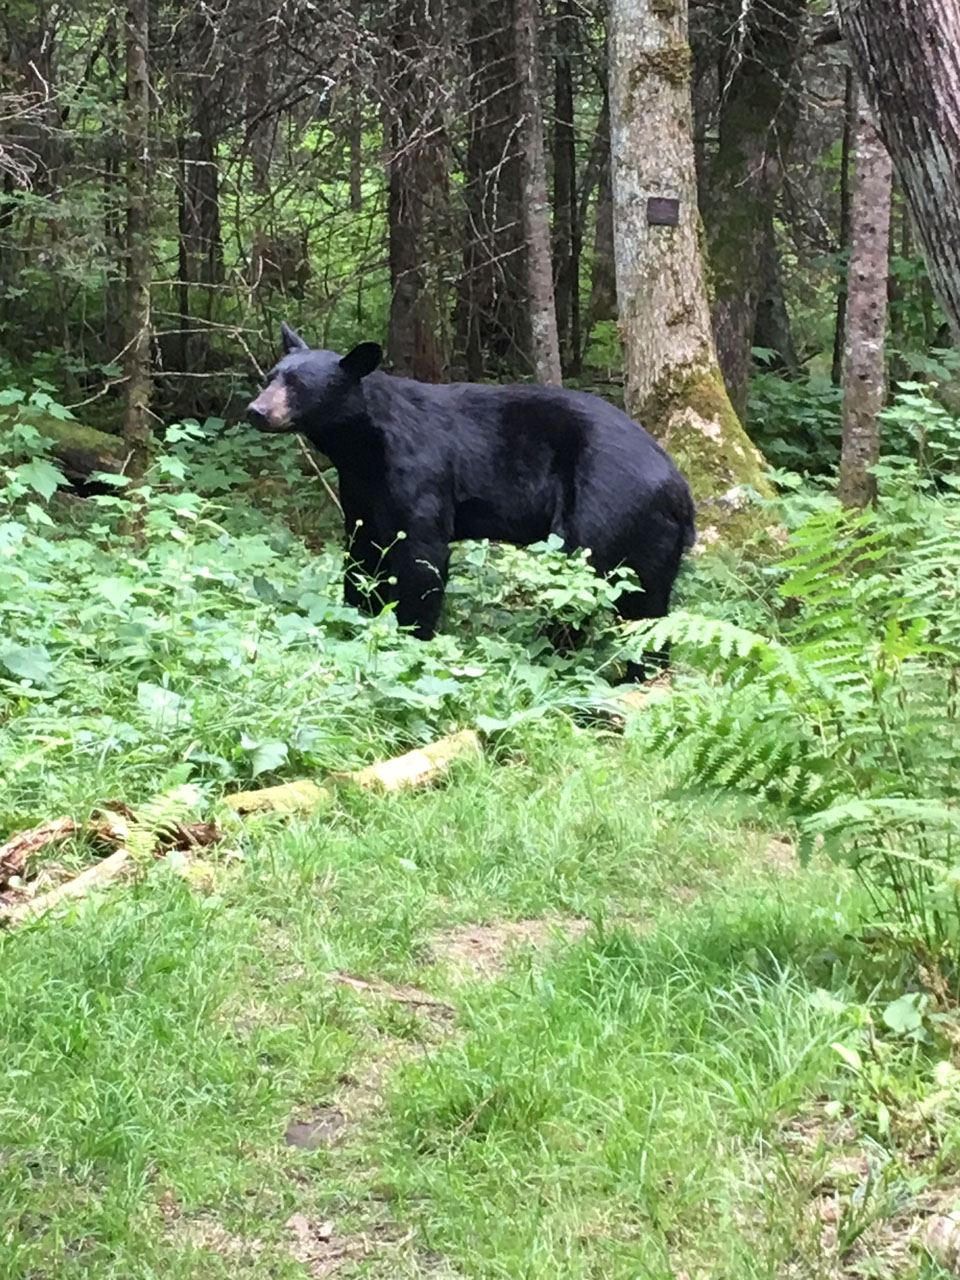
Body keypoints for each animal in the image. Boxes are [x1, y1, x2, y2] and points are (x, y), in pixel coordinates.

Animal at [247, 324, 696, 672]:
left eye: (299, 386)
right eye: (270, 377)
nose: (255, 410)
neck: (363, 448)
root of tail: (680, 488)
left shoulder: (420, 474)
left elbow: (423, 560)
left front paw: (411, 640)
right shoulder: (362, 490)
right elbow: (362, 554)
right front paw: (356, 618)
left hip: (608, 506)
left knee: (598, 589)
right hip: (650, 538)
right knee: (649, 607)